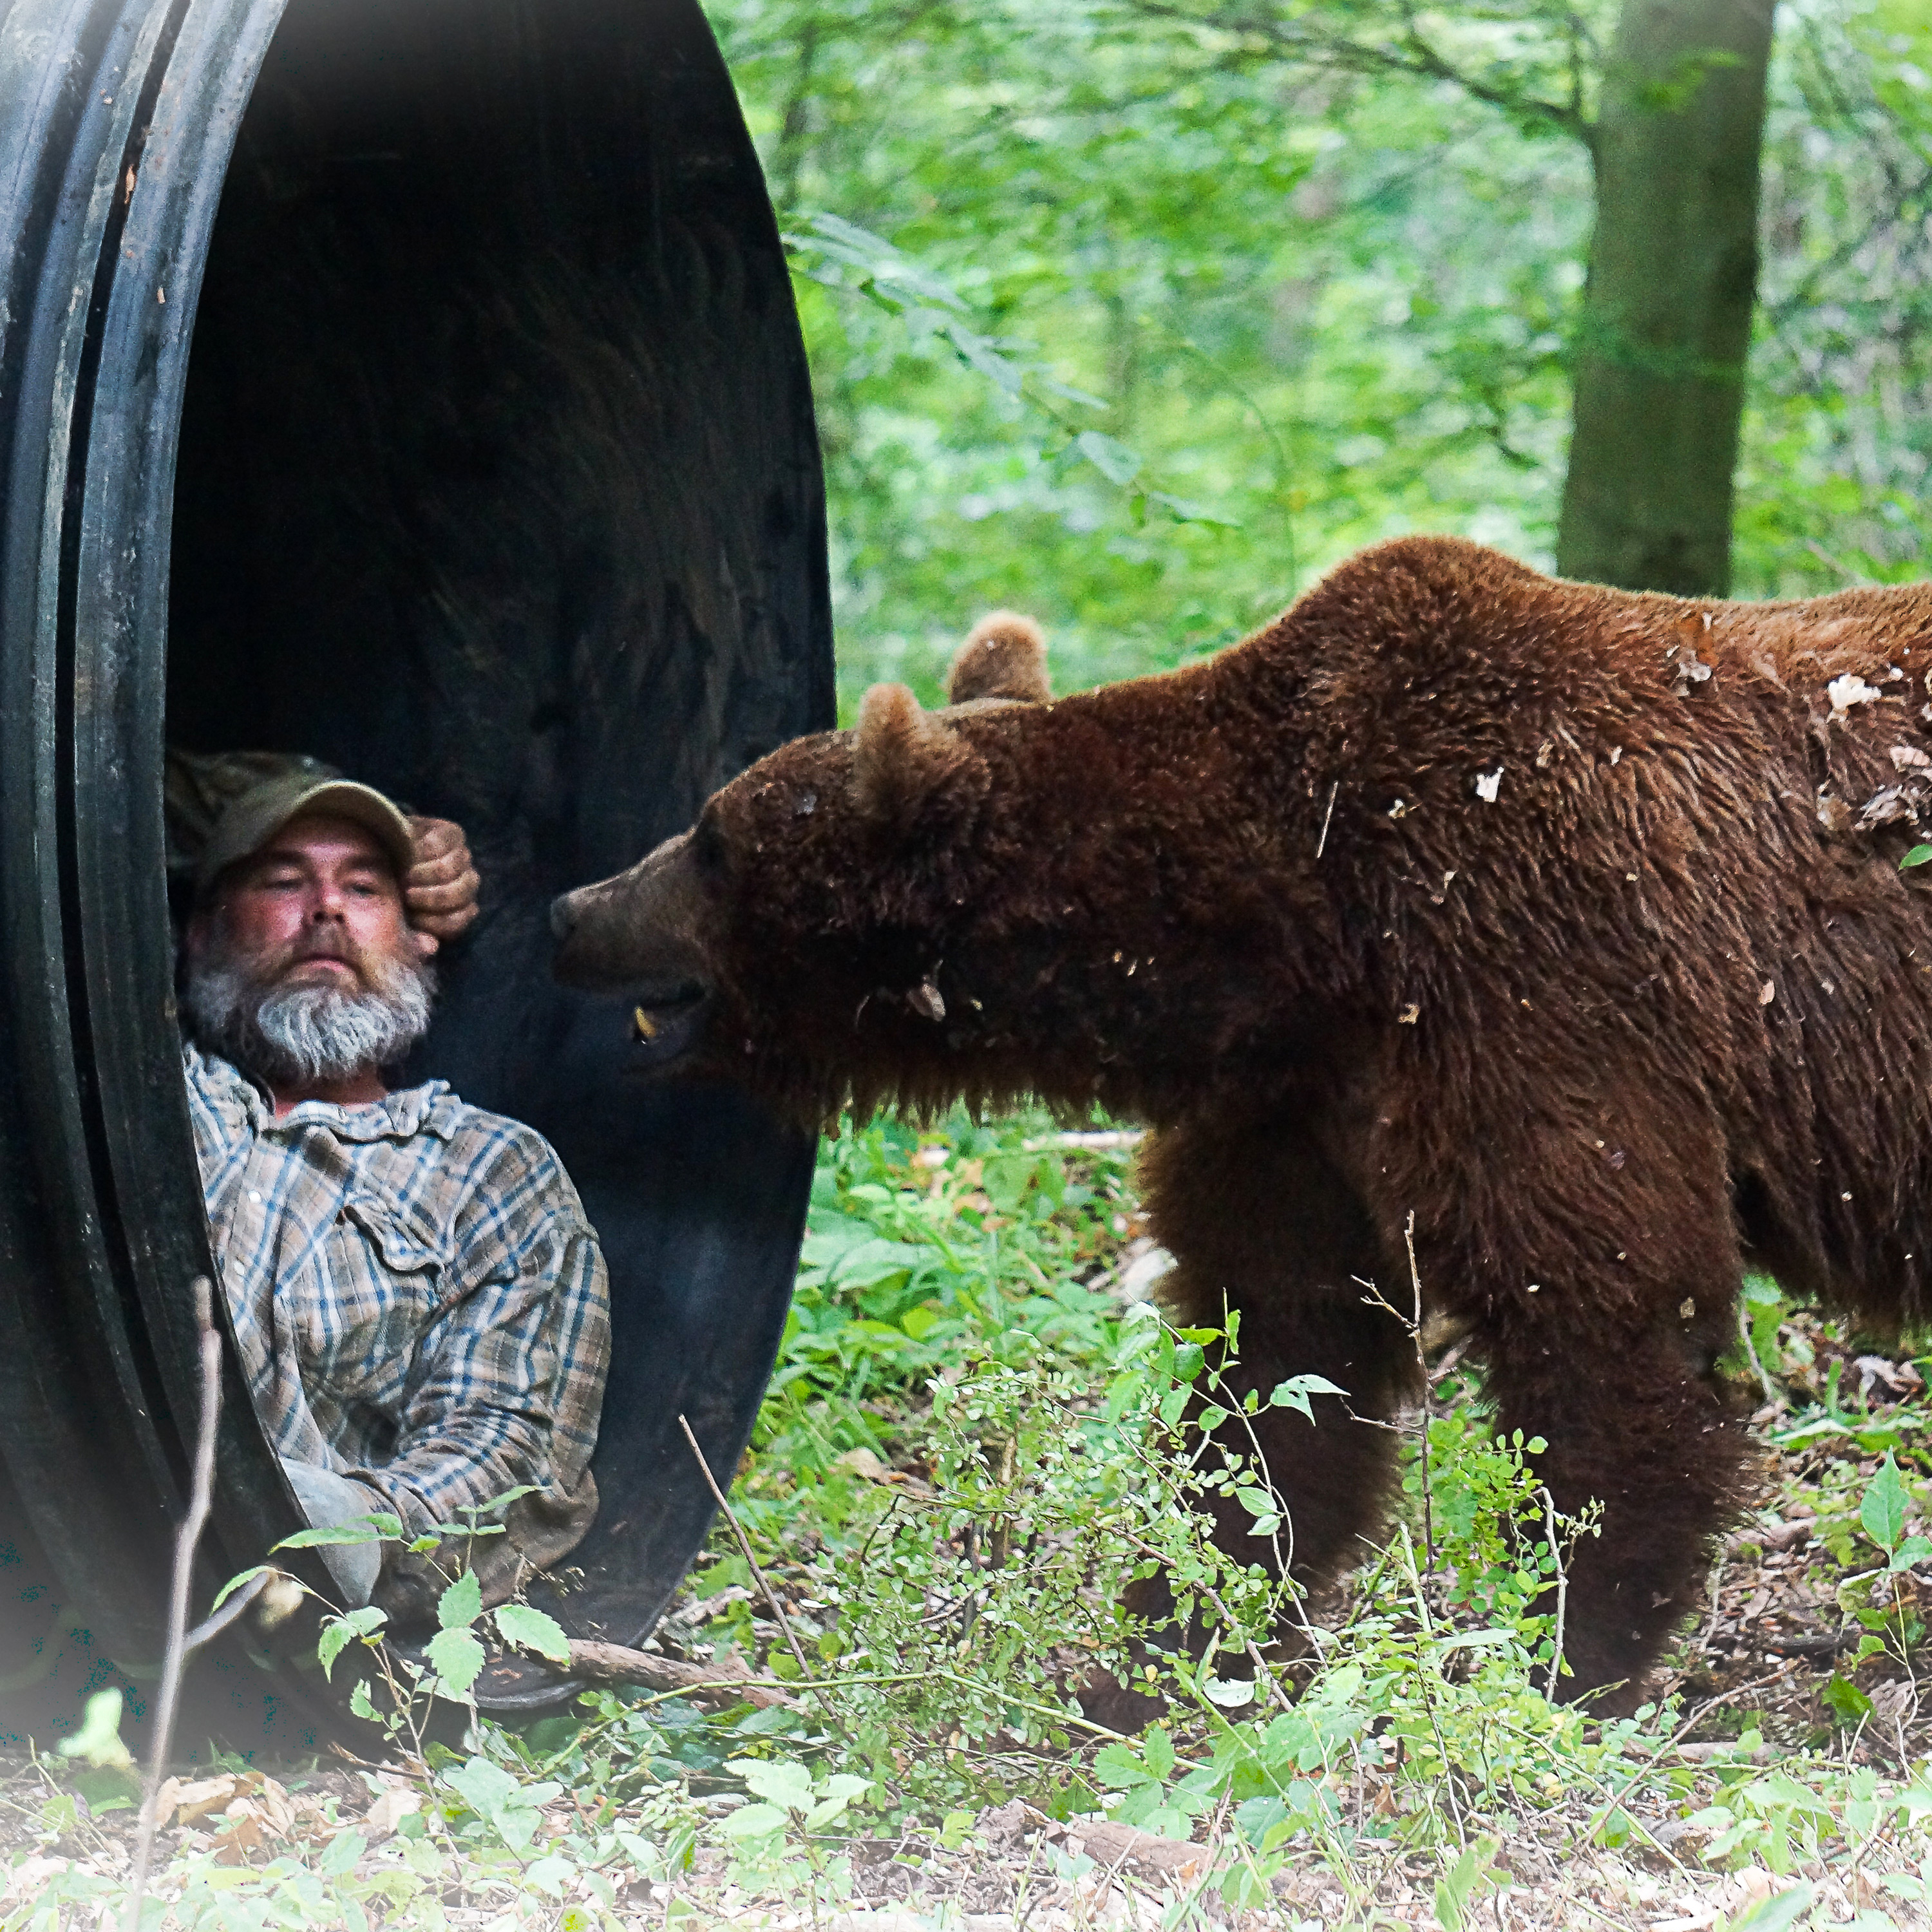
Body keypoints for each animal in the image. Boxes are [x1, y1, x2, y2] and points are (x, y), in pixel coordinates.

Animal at [553, 533, 1932, 1708]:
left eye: (713, 839)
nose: (575, 905)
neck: (1284, 918)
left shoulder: (1535, 973)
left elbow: (1610, 1328)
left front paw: (1561, 1653)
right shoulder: (1299, 1107)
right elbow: (1277, 1372)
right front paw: (1168, 1644)